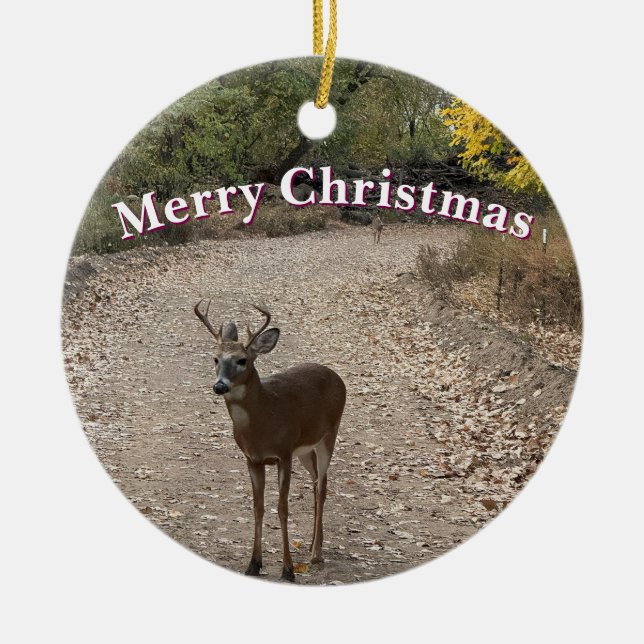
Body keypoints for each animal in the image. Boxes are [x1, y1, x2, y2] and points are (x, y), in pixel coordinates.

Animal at [194, 301, 346, 581]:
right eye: (215, 359)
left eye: (242, 360)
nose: (219, 386)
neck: (263, 423)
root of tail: (335, 374)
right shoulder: (252, 459)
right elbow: (258, 507)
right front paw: (254, 564)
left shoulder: (283, 454)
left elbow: (282, 507)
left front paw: (287, 570)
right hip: (304, 450)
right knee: (316, 482)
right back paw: (313, 544)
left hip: (329, 434)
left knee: (322, 486)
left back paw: (316, 554)